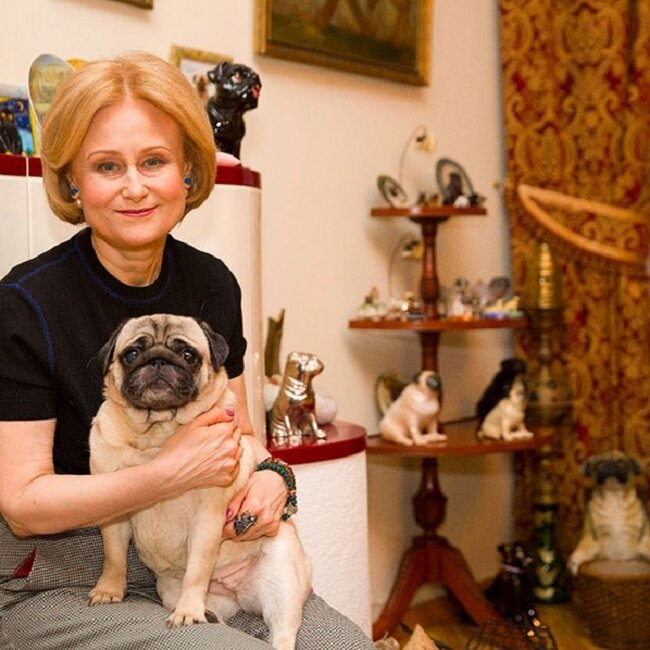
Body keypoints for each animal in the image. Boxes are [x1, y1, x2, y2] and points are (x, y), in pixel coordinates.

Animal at [87, 314, 311, 650]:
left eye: (188, 355)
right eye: (131, 353)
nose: (157, 360)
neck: (158, 434)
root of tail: (236, 591)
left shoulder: (207, 519)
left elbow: (197, 570)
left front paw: (188, 612)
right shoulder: (114, 515)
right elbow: (113, 557)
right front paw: (109, 590)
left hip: (282, 581)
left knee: (282, 633)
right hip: (168, 588)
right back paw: (207, 614)